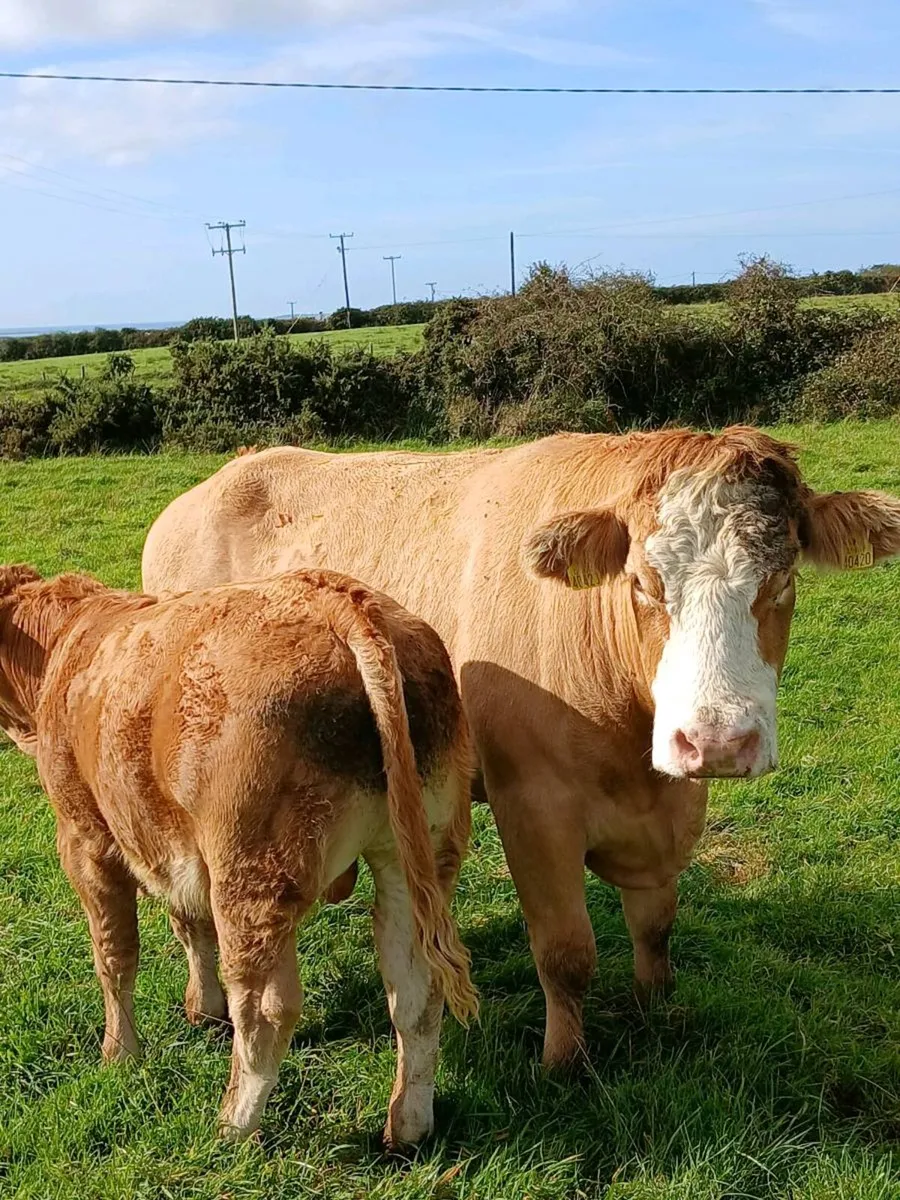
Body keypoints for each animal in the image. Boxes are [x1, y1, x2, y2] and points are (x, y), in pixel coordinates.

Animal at [0, 565, 477, 1145]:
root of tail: (341, 601)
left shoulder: (86, 838)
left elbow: (114, 956)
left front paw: (120, 1054)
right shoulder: (176, 844)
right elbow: (189, 924)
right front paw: (202, 1008)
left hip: (251, 877)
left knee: (267, 1008)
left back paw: (232, 1126)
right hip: (415, 860)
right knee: (416, 991)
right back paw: (407, 1127)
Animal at [141, 426, 900, 1068]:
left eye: (784, 580)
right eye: (643, 583)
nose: (716, 739)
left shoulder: (669, 807)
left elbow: (656, 924)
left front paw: (655, 1006)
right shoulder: (532, 804)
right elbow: (565, 951)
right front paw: (564, 1062)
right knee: (193, 907)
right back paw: (206, 1004)